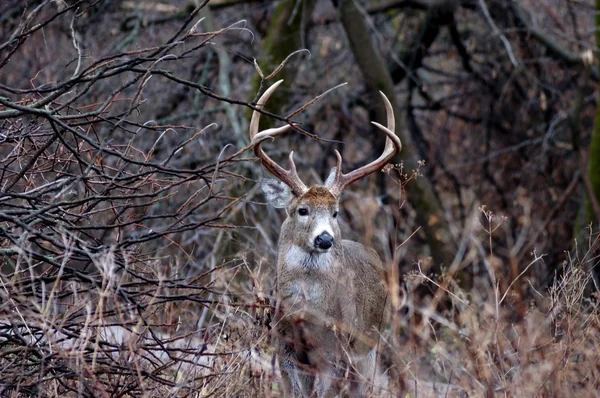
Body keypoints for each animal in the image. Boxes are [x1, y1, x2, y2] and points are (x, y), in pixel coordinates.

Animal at [250, 81, 404, 398]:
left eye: (335, 212)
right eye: (302, 210)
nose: (324, 239)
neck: (307, 314)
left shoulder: (334, 349)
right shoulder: (285, 347)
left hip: (369, 343)